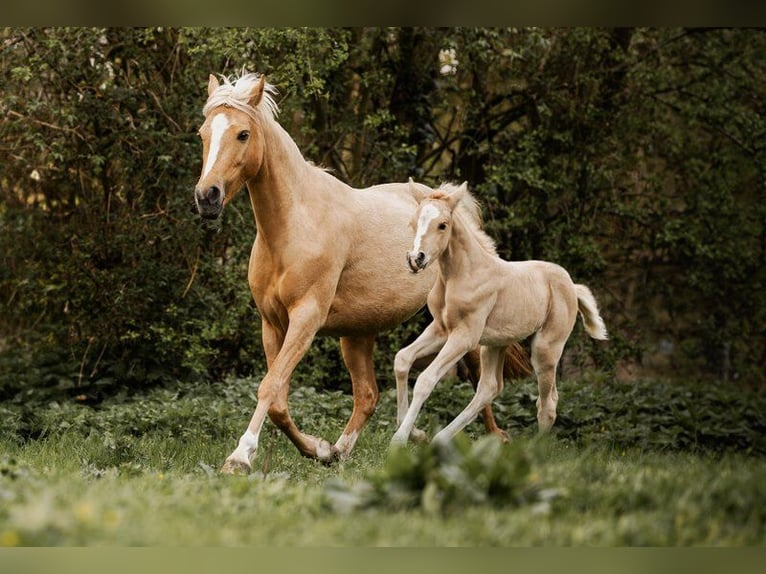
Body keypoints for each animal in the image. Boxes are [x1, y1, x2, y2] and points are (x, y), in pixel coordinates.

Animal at [194, 73, 536, 476]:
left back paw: (490, 440)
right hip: (358, 333)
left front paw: (240, 457)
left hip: (460, 323)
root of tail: (455, 204)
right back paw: (350, 447)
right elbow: (278, 399)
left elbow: (269, 388)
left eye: (243, 134)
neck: (295, 224)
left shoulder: (306, 319)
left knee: (478, 376)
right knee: (369, 394)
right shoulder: (272, 323)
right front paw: (320, 449)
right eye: (203, 132)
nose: (207, 196)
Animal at [392, 182, 608, 448]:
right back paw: (442, 438)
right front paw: (415, 432)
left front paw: (399, 439)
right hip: (494, 344)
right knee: (489, 388)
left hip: (545, 349)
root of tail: (571, 286)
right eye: (413, 222)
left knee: (547, 404)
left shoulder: (464, 337)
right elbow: (402, 359)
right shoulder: (441, 329)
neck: (463, 274)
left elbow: (426, 379)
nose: (416, 259)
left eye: (442, 225)